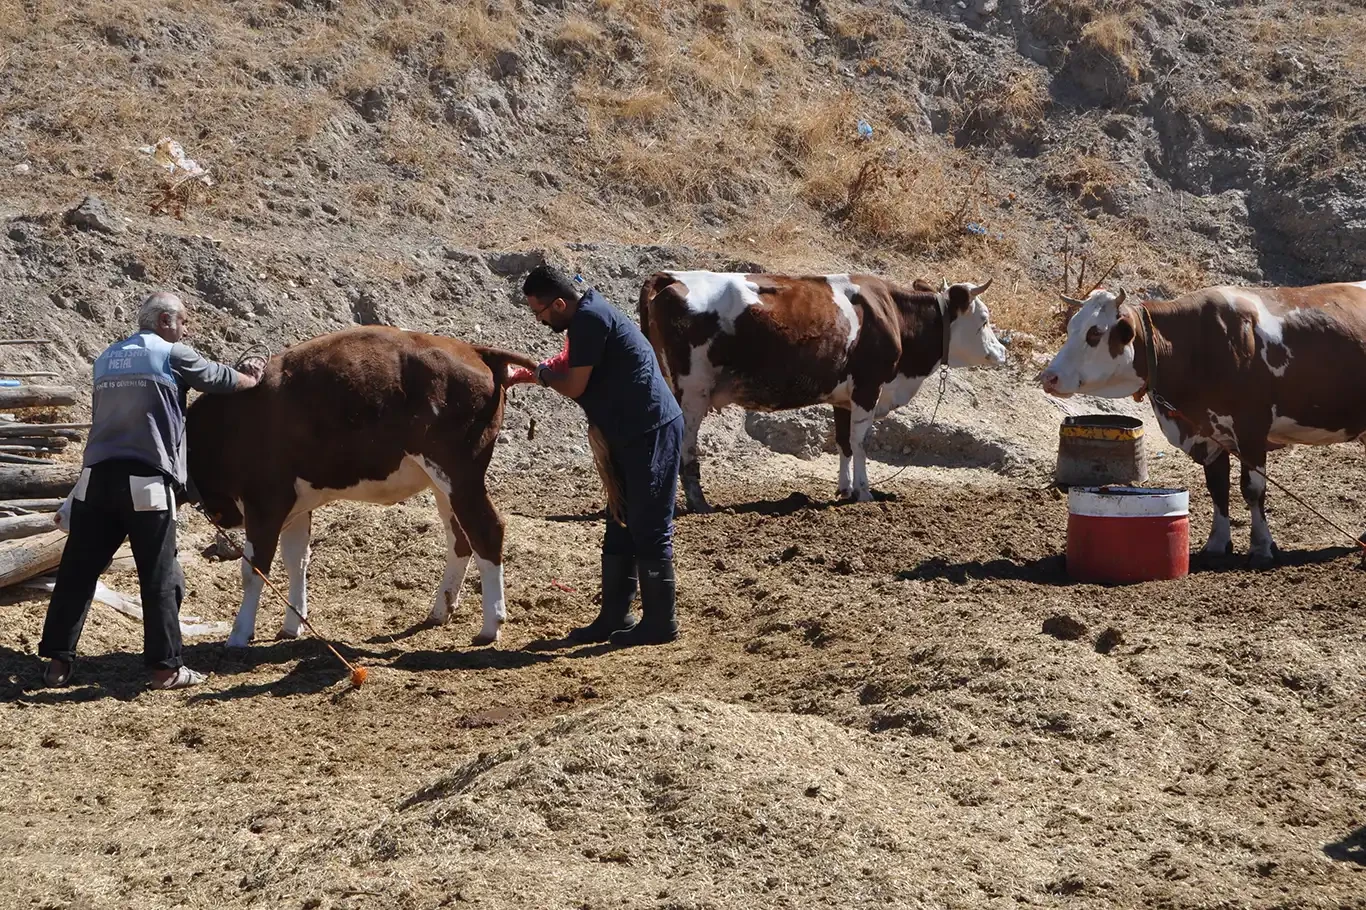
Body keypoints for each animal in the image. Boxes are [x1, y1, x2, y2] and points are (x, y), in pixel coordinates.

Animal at [184, 326, 535, 644]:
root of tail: (474, 350)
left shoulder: (265, 502)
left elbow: (254, 570)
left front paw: (239, 634)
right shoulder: (295, 506)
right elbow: (297, 561)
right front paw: (292, 626)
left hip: (461, 477)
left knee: (486, 531)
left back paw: (490, 626)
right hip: (444, 486)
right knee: (460, 539)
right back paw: (440, 610)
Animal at [636, 269, 1005, 511]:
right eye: (984, 319)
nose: (1003, 351)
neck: (892, 316)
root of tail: (672, 277)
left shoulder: (844, 399)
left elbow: (843, 442)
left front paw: (844, 488)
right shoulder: (868, 388)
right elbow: (860, 442)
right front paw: (864, 492)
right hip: (693, 391)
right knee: (685, 445)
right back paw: (699, 502)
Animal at [1038, 280, 1366, 562]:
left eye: (1095, 332)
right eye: (1071, 327)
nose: (1049, 377)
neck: (1199, 344)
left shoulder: (1251, 429)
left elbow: (1252, 489)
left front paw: (1262, 546)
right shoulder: (1209, 433)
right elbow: (1217, 487)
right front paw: (1217, 544)